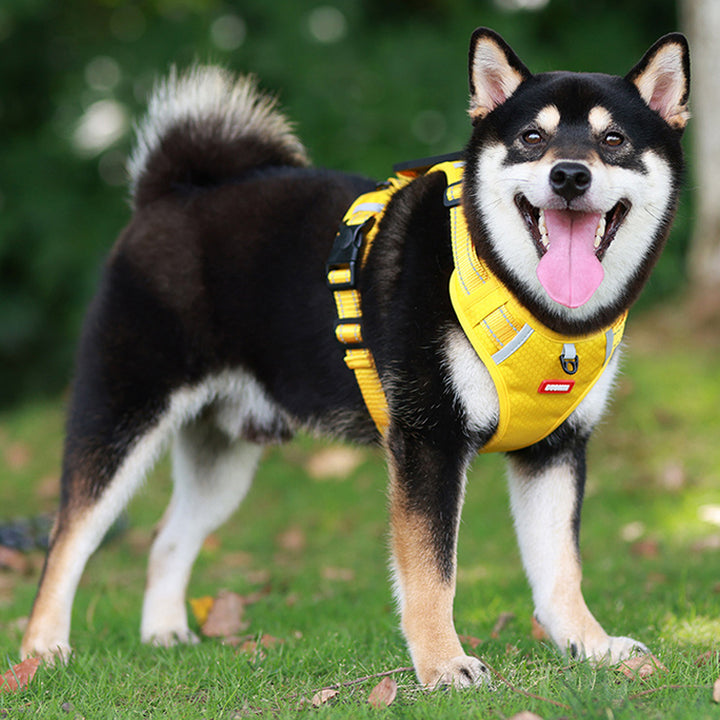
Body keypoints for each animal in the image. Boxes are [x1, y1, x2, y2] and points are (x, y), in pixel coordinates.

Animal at [19, 29, 688, 692]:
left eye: (613, 140)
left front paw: (590, 646)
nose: (569, 175)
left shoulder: (555, 448)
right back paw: (42, 650)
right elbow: (432, 571)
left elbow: (560, 569)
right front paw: (444, 664)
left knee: (165, 539)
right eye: (532, 137)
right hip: (122, 415)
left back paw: (163, 632)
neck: (521, 294)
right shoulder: (428, 439)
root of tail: (171, 194)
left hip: (221, 456)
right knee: (67, 540)